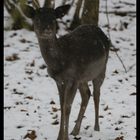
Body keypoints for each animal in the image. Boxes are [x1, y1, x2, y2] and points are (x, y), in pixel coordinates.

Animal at [21, 2, 110, 140]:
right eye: (37, 19)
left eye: (53, 19)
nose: (47, 29)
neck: (59, 63)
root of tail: (102, 32)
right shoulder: (59, 80)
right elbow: (61, 106)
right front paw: (59, 136)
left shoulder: (72, 78)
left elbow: (67, 107)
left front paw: (65, 137)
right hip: (83, 76)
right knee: (86, 94)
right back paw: (75, 130)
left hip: (101, 70)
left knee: (96, 95)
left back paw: (96, 128)